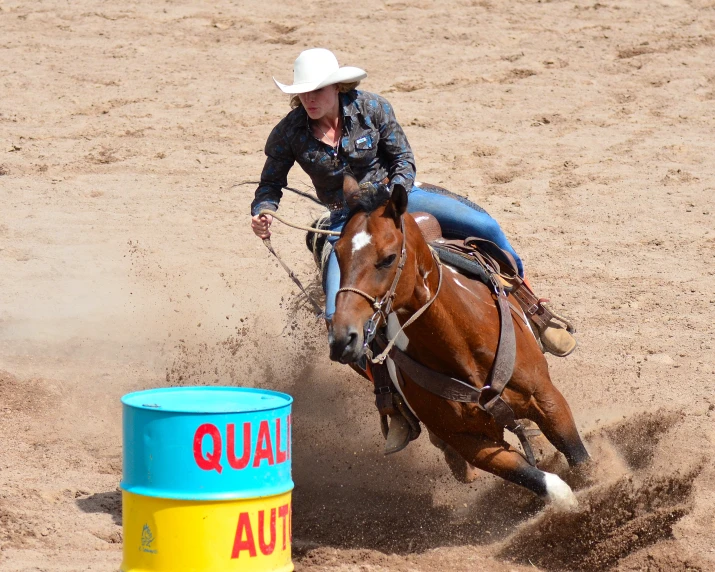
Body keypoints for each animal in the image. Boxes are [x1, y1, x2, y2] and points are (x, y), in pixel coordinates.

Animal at [328, 183, 592, 510]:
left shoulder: (546, 397)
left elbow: (579, 460)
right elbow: (549, 485)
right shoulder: (469, 441)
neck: (462, 346)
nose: (343, 337)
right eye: (338, 254)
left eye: (388, 258)